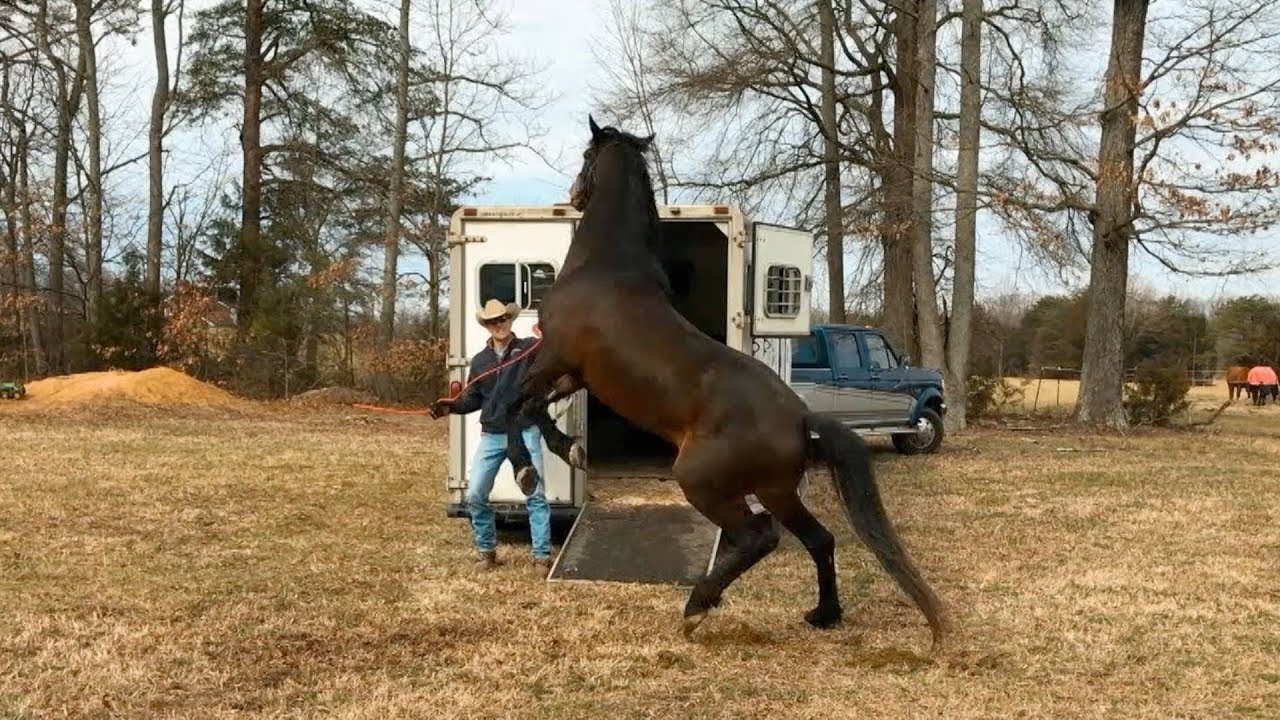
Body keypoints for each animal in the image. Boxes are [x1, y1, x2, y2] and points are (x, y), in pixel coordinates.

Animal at [500, 116, 949, 652]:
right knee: (819, 538)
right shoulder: (572, 373)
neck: (604, 268)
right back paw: (822, 614)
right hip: (777, 490)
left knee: (761, 536)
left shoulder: (553, 356)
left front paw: (530, 469)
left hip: (702, 482)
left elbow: (513, 407)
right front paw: (569, 449)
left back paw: (698, 606)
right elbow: (532, 408)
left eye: (587, 157)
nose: (573, 193)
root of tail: (800, 417)